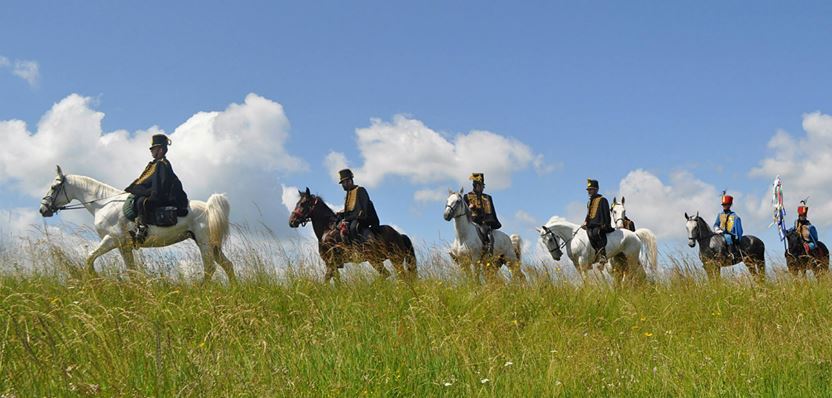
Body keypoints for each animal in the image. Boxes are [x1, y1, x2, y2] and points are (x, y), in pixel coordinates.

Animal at [38, 165, 234, 282]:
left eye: (54, 187)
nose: (43, 209)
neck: (103, 204)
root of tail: (208, 207)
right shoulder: (123, 246)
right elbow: (132, 271)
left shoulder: (111, 240)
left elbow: (89, 258)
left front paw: (95, 279)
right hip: (212, 244)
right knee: (227, 265)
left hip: (204, 243)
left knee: (210, 268)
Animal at [288, 187, 416, 282]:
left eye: (303, 203)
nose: (291, 221)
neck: (327, 229)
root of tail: (399, 235)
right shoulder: (333, 265)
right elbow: (336, 281)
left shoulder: (331, 263)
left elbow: (326, 281)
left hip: (389, 259)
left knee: (393, 275)